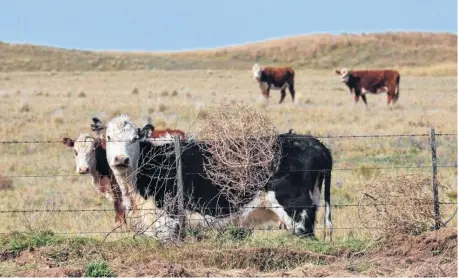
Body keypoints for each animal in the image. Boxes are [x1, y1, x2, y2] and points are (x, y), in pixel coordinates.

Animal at [103, 114, 332, 242]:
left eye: (134, 138)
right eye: (108, 137)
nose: (121, 159)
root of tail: (314, 142)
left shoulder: (169, 218)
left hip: (296, 209)